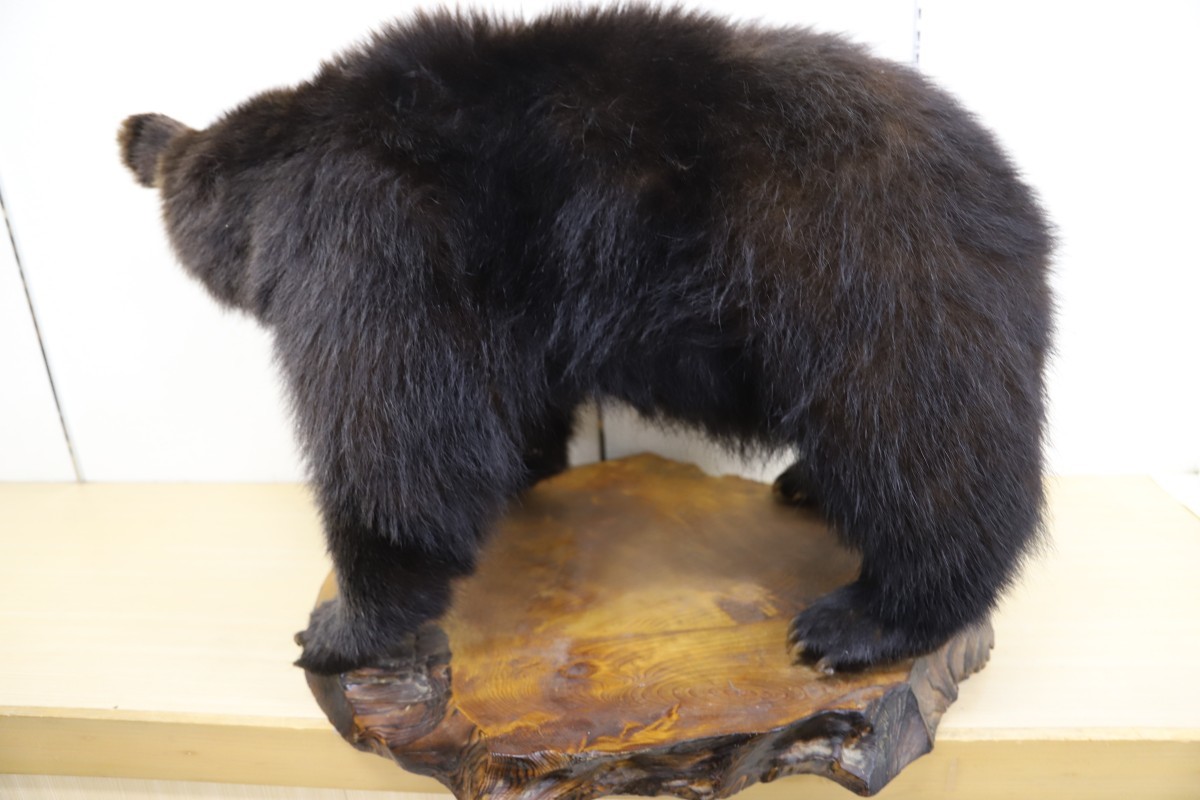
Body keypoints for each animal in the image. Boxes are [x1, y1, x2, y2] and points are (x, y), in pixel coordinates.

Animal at [118, 6, 1053, 676]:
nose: (132, 134)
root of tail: (1015, 200)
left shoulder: (374, 236)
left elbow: (397, 441)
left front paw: (340, 626)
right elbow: (496, 406)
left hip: (866, 280)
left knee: (921, 449)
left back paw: (866, 619)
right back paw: (808, 487)